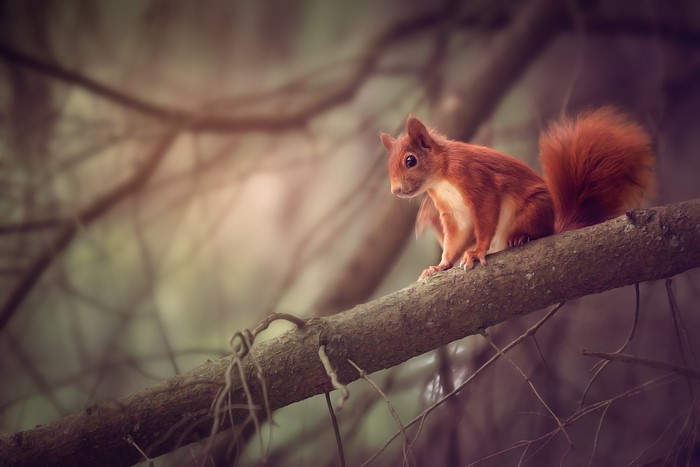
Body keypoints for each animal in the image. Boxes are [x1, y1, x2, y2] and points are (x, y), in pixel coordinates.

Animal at [379, 107, 654, 280]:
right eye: (388, 164)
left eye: (410, 160)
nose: (395, 191)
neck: (441, 178)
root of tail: (555, 224)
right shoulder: (453, 213)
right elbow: (457, 237)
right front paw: (440, 266)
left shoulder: (476, 180)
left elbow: (485, 215)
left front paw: (477, 252)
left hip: (532, 210)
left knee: (538, 231)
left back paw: (521, 237)